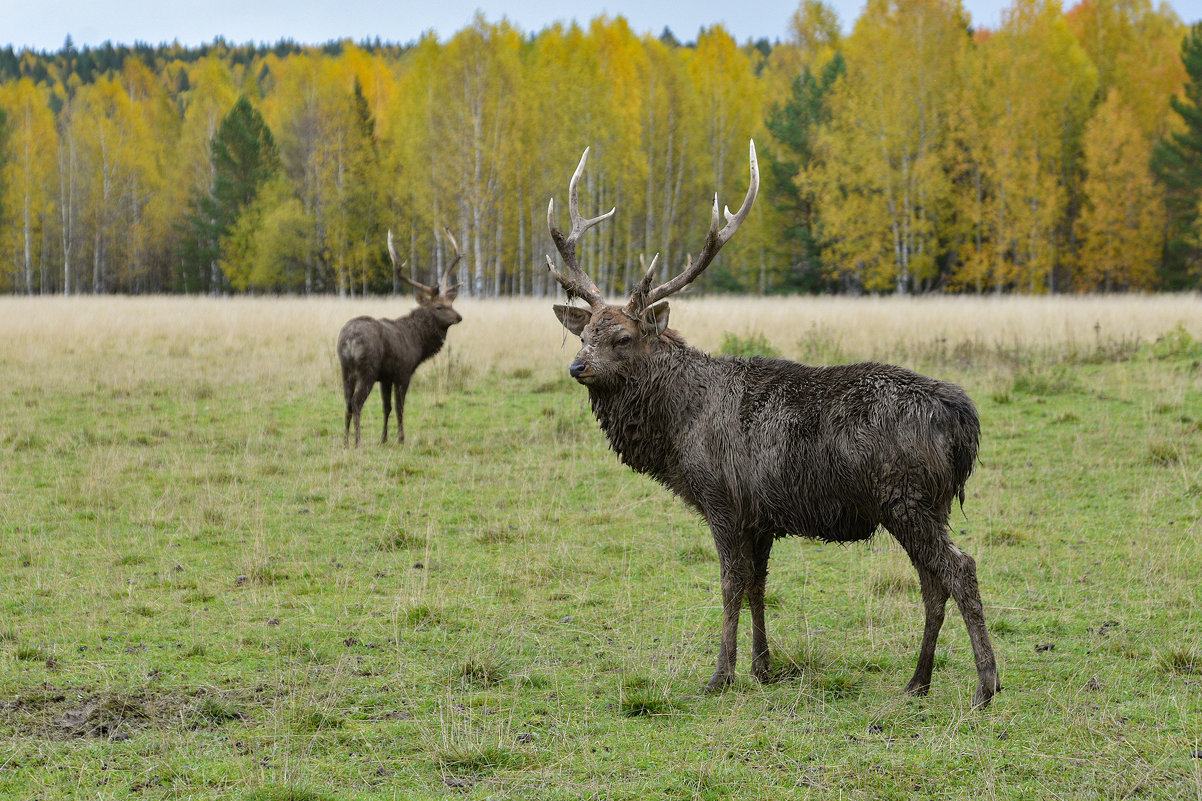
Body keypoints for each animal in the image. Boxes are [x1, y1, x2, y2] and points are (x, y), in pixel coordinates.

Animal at [343, 227, 468, 445]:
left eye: (451, 303)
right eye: (438, 306)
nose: (458, 317)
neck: (418, 343)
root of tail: (349, 341)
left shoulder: (386, 376)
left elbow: (387, 407)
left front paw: (384, 439)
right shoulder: (404, 371)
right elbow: (400, 407)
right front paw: (401, 439)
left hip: (345, 371)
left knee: (347, 403)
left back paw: (345, 441)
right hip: (367, 370)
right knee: (357, 403)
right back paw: (358, 442)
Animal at [550, 141, 1000, 707]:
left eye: (624, 338)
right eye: (585, 332)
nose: (576, 366)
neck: (678, 432)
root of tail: (962, 418)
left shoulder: (721, 498)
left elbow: (730, 584)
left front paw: (720, 675)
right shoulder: (762, 515)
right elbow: (758, 586)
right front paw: (763, 668)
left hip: (907, 497)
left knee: (960, 570)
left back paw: (986, 684)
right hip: (927, 503)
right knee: (933, 582)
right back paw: (917, 681)